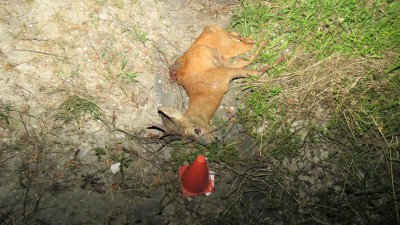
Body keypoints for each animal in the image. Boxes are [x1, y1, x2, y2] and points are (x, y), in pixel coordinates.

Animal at [152, 24, 280, 144]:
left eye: (196, 130)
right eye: (192, 140)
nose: (214, 142)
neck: (206, 92)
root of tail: (210, 27)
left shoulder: (223, 73)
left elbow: (253, 71)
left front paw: (277, 61)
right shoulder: (224, 71)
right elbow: (246, 62)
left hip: (229, 47)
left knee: (251, 44)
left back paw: (267, 37)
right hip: (228, 46)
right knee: (244, 39)